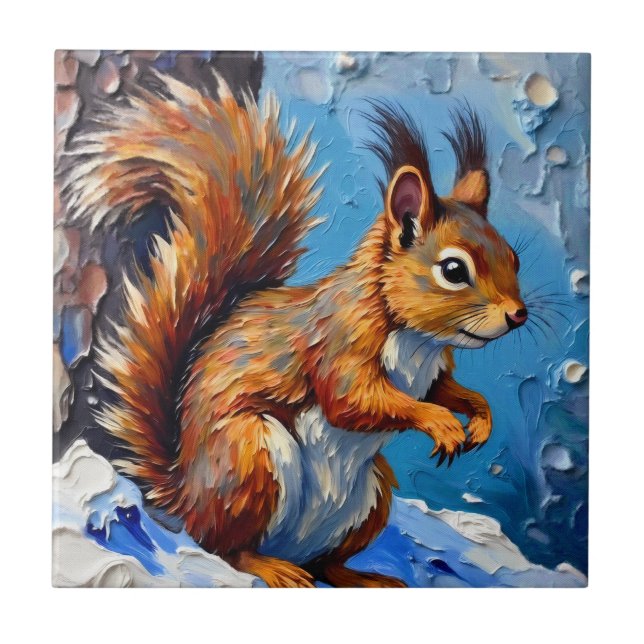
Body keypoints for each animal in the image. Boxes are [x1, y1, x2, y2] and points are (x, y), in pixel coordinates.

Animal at [59, 72, 527, 588]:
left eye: (513, 257)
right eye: (453, 270)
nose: (518, 314)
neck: (415, 340)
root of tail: (186, 495)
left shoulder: (434, 372)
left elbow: (450, 391)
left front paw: (479, 418)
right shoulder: (339, 343)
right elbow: (354, 401)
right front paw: (439, 423)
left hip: (373, 494)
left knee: (326, 564)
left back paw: (366, 577)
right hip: (248, 459)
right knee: (225, 549)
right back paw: (271, 567)